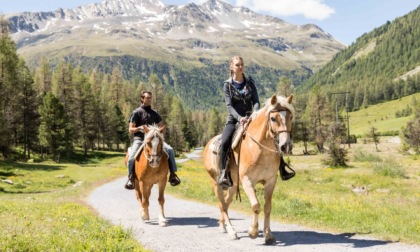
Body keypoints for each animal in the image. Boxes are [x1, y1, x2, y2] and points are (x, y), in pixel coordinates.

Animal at [203, 94, 296, 244]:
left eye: (290, 117)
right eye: (273, 118)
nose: (285, 146)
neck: (260, 150)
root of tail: (208, 144)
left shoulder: (271, 181)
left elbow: (267, 207)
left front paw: (268, 234)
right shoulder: (247, 180)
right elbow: (256, 206)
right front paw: (253, 231)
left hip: (233, 184)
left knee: (226, 203)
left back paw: (222, 225)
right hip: (216, 182)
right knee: (222, 204)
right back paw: (231, 231)